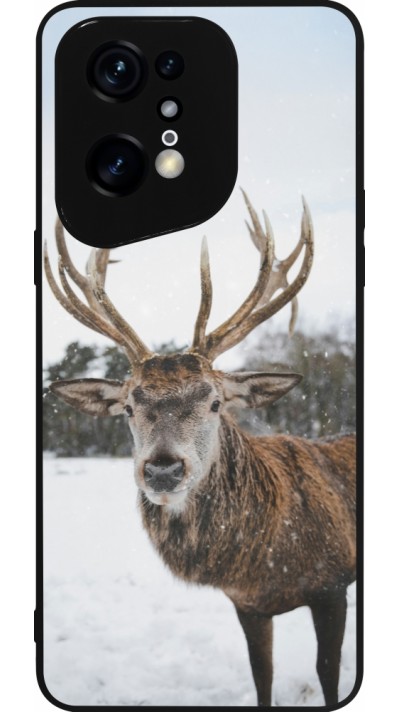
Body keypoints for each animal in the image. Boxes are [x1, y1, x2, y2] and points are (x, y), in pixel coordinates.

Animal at [44, 191, 356, 707]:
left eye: (214, 401)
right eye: (128, 406)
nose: (163, 470)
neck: (265, 561)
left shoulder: (333, 584)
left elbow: (328, 675)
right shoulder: (248, 605)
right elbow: (262, 676)